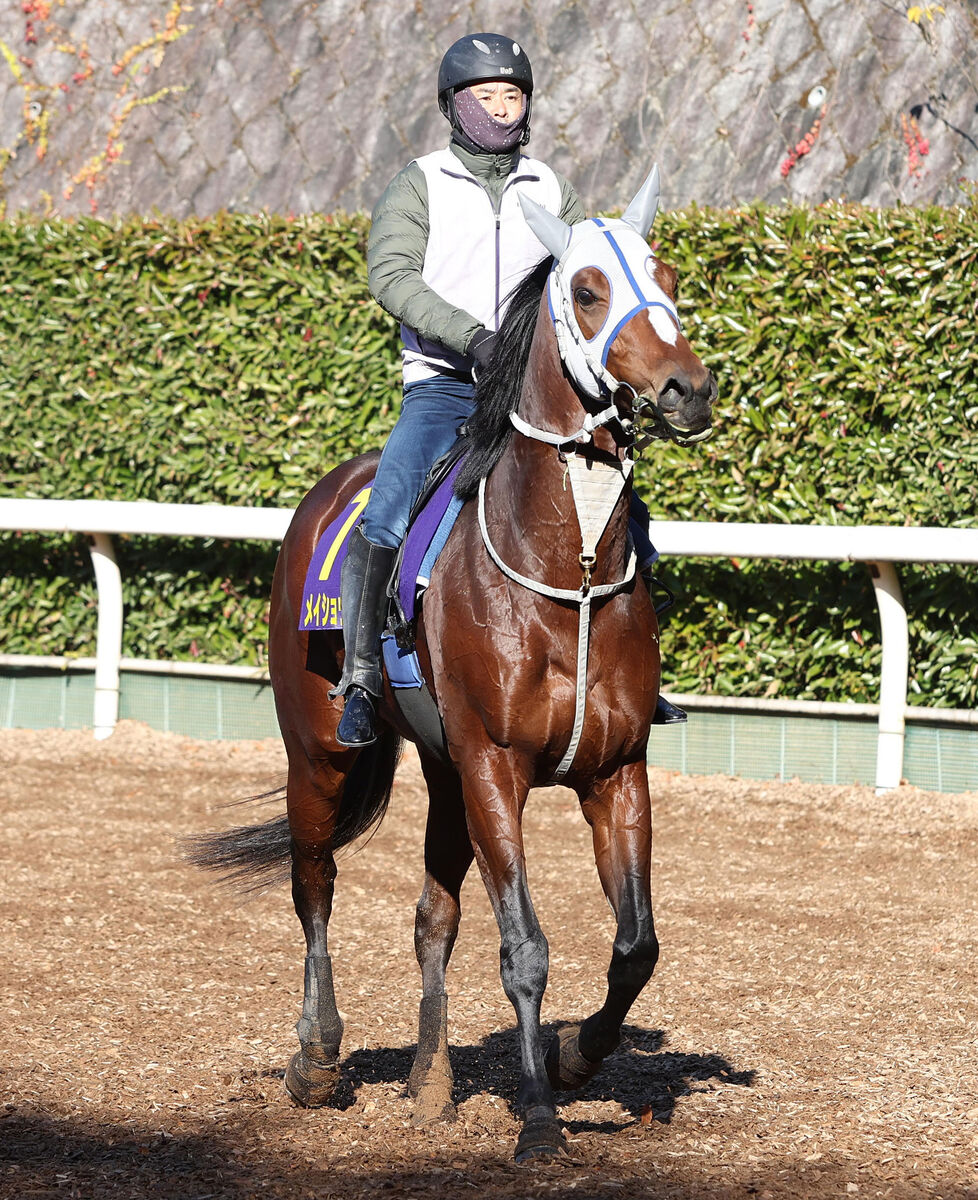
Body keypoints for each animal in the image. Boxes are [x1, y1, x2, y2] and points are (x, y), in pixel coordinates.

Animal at [190, 169, 715, 1161]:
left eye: (667, 274)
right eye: (588, 290)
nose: (688, 387)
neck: (566, 573)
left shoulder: (615, 771)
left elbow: (638, 946)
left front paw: (579, 1056)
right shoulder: (495, 771)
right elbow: (526, 949)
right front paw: (540, 1116)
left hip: (441, 773)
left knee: (433, 918)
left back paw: (430, 1083)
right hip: (322, 754)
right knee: (313, 886)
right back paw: (316, 1057)